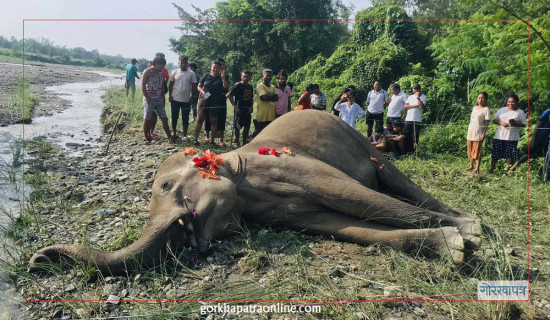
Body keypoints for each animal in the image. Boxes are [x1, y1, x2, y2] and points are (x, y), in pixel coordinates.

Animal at [29, 110, 484, 276]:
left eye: (165, 186)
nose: (36, 262)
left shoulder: (291, 166)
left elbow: (353, 197)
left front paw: (470, 238)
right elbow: (343, 225)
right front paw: (454, 249)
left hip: (363, 139)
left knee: (396, 182)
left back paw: (473, 223)